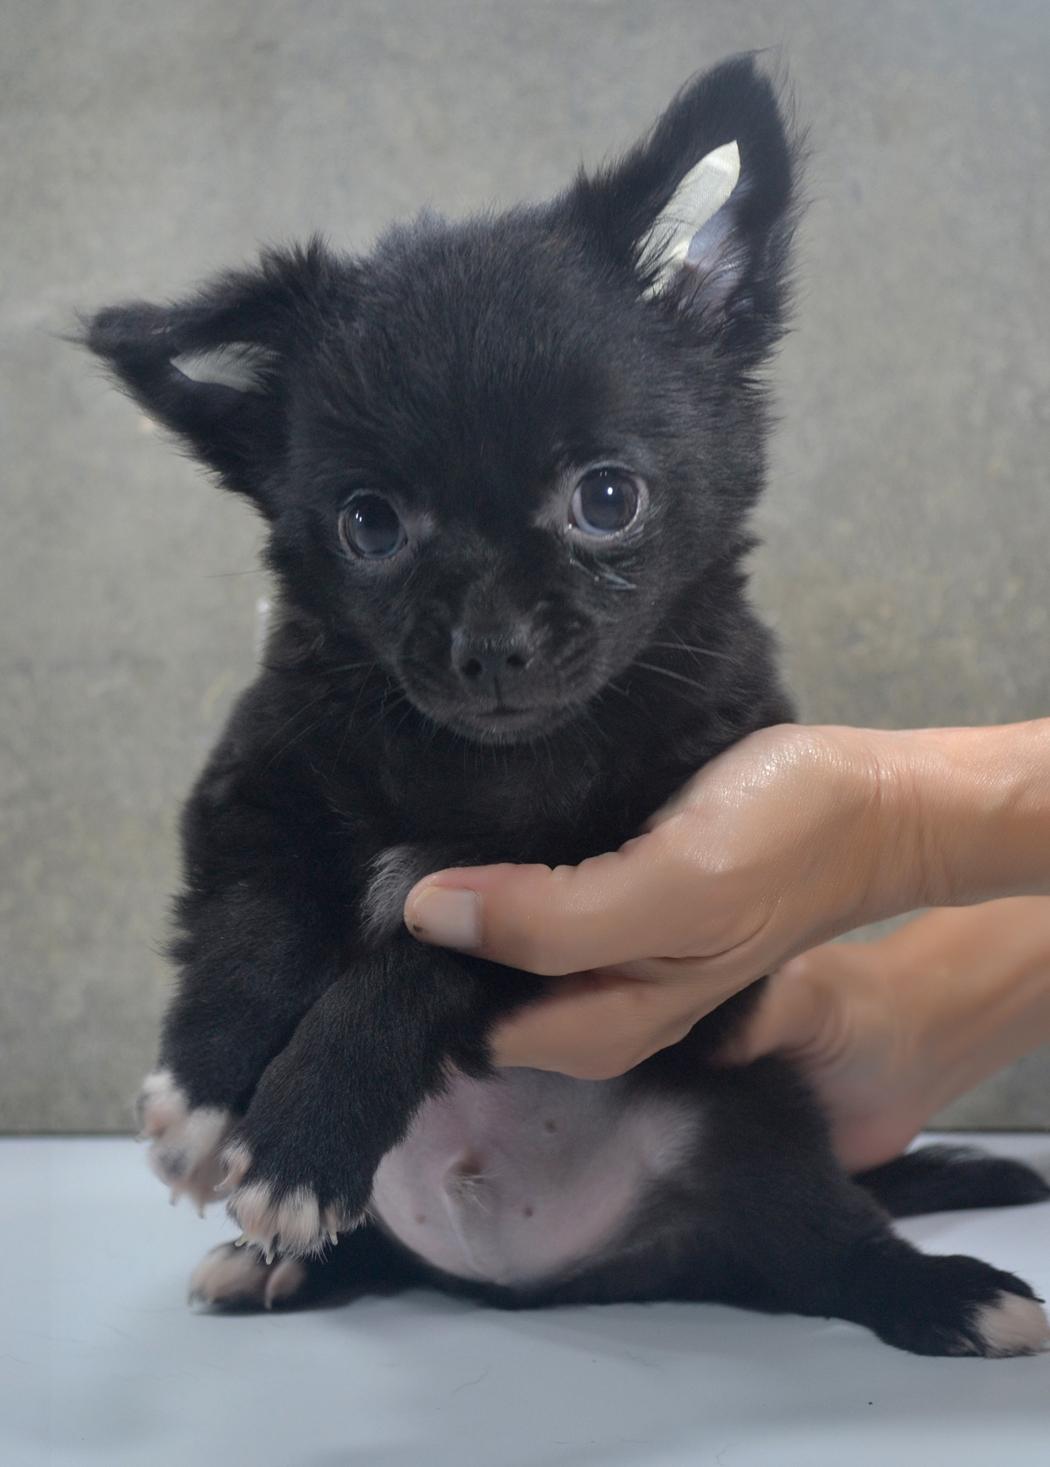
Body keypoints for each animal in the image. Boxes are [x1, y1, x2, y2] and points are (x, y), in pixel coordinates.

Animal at [86, 55, 1049, 1356]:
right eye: (369, 525)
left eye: (606, 499)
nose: (490, 648)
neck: (481, 769)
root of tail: (535, 1276)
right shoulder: (257, 779)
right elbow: (255, 917)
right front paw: (206, 1091)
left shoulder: (598, 881)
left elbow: (421, 960)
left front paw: (304, 1128)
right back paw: (280, 1268)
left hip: (753, 1123)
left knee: (827, 1248)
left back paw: (952, 1291)